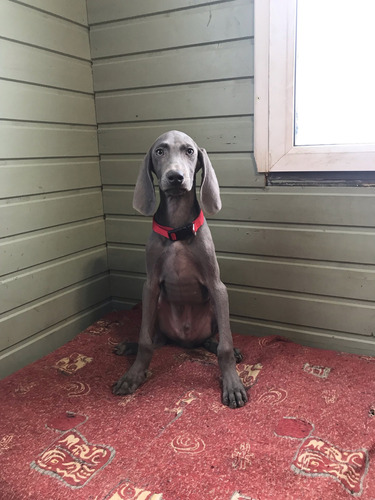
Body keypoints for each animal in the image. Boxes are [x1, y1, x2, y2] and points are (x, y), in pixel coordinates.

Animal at [114, 131, 250, 408]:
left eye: (189, 151)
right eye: (159, 151)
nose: (175, 177)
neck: (177, 227)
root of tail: (186, 342)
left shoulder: (217, 286)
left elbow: (225, 347)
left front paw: (232, 385)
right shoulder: (150, 286)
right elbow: (145, 341)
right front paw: (133, 375)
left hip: (213, 310)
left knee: (213, 340)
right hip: (156, 307)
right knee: (158, 340)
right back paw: (128, 346)